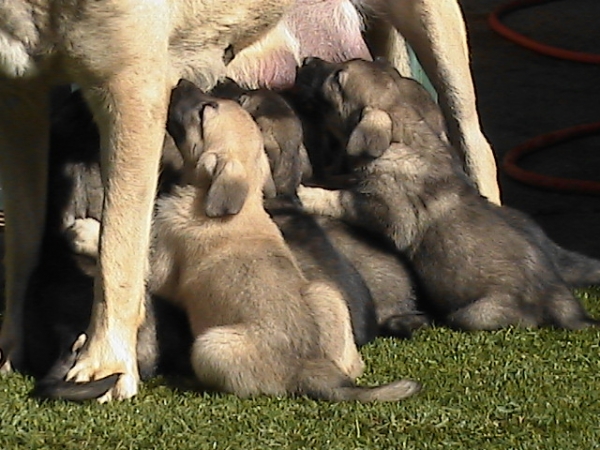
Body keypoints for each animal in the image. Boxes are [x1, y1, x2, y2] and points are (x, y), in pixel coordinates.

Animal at [152, 81, 420, 400]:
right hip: (327, 293)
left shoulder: (162, 264)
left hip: (211, 345)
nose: (181, 83)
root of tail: (312, 368)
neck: (246, 202)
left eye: (206, 110)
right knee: (352, 365)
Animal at [298, 57, 600, 330]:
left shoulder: (383, 211)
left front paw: (307, 194)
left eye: (338, 78)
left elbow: (339, 199)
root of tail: (557, 295)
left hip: (476, 313)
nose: (307, 60)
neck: (402, 141)